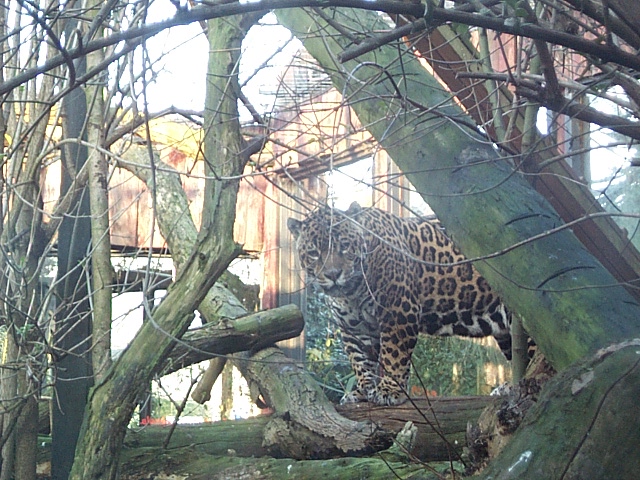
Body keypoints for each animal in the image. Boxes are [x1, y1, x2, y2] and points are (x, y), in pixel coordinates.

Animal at [288, 202, 513, 406]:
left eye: (344, 246)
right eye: (314, 252)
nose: (333, 274)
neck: (351, 293)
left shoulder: (398, 312)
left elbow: (393, 354)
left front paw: (389, 390)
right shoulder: (354, 328)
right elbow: (360, 361)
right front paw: (362, 391)